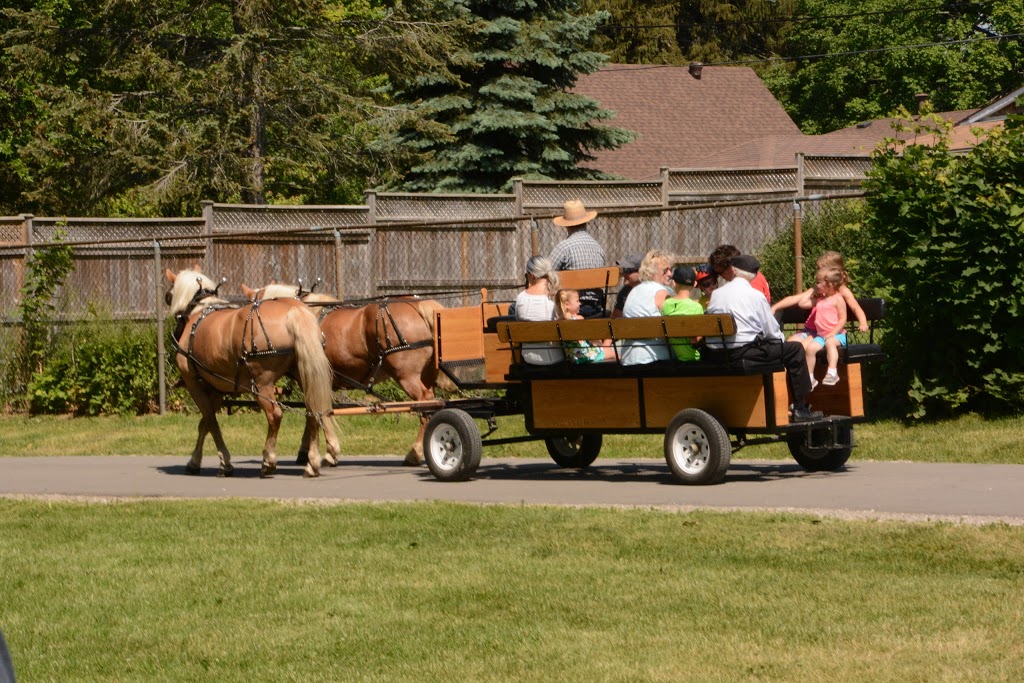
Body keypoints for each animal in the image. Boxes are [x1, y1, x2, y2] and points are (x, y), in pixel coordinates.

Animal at [163, 266, 339, 475]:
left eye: (169, 294)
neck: (198, 312)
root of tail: (294, 311)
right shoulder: (216, 388)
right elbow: (204, 424)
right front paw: (197, 460)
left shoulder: (195, 384)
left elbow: (211, 422)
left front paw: (223, 462)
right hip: (304, 374)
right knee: (313, 411)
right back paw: (312, 463)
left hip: (262, 383)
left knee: (275, 415)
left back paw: (269, 460)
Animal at [241, 282, 450, 464]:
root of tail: (421, 305)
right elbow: (313, 412)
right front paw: (306, 451)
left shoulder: (308, 377)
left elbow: (316, 410)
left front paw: (327, 451)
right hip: (427, 375)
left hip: (407, 376)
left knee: (425, 403)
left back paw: (415, 452)